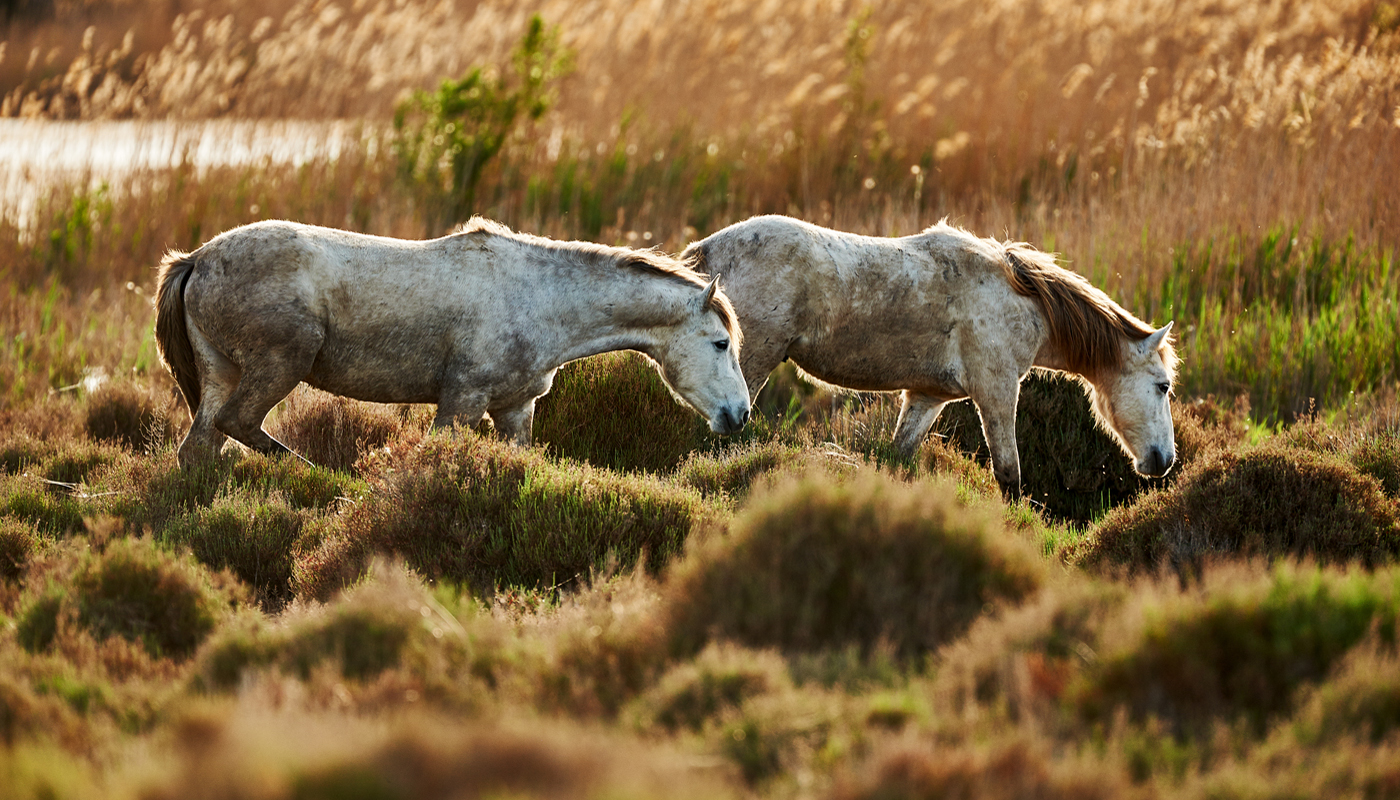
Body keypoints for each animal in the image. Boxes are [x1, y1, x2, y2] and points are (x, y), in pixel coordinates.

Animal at [157, 218, 750, 470]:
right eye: (721, 343)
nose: (740, 414)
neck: (540, 297)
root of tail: (197, 259)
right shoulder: (461, 401)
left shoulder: (514, 407)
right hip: (281, 363)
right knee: (239, 425)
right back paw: (323, 474)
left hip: (222, 372)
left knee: (200, 447)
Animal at [683, 215, 1176, 498]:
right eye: (1163, 386)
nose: (1165, 460)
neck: (1020, 300)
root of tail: (705, 251)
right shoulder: (996, 393)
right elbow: (1009, 477)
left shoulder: (926, 397)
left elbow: (897, 457)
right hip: (748, 367)